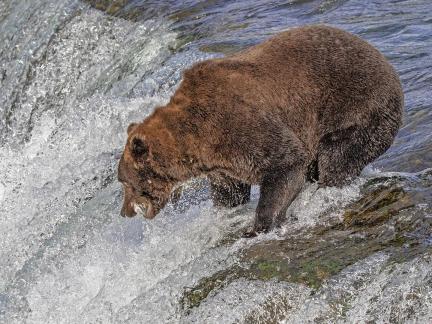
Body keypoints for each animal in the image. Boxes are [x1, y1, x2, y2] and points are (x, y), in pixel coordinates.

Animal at [117, 24, 402, 234]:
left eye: (124, 181)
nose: (125, 212)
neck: (193, 140)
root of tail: (386, 62)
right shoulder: (221, 164)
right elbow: (230, 192)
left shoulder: (236, 127)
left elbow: (285, 164)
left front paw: (258, 226)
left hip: (358, 109)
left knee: (337, 160)